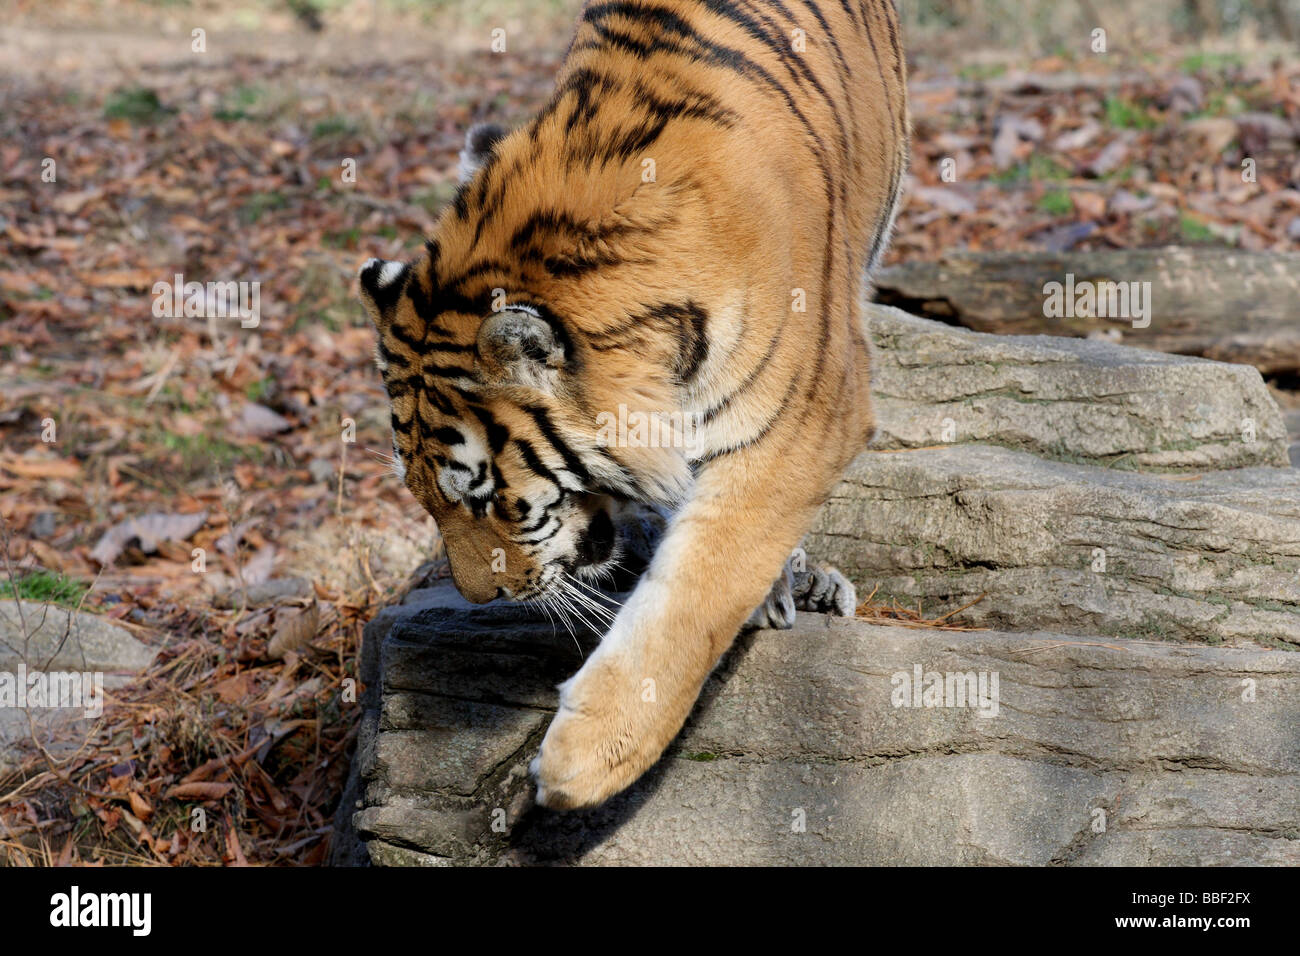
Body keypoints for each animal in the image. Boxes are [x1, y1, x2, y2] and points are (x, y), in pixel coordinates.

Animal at [356, 0, 904, 811]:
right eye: (422, 499)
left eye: (487, 500)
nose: (483, 597)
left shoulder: (806, 418)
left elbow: (700, 586)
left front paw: (585, 759)